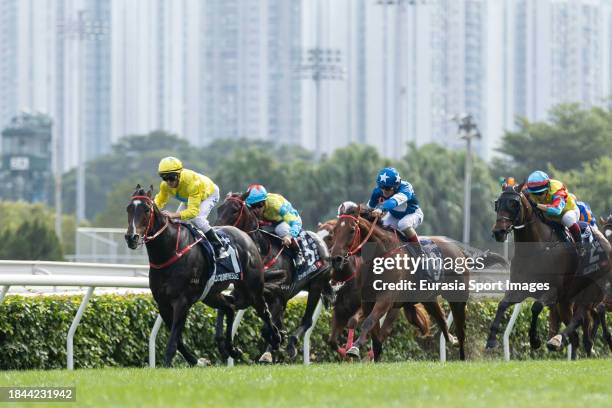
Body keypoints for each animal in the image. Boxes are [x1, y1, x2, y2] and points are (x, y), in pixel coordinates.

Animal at [125, 185, 282, 366]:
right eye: (128, 208)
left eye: (146, 209)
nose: (131, 237)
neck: (169, 252)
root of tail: (246, 236)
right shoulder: (162, 303)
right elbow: (178, 340)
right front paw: (196, 360)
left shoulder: (182, 302)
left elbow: (173, 340)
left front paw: (169, 363)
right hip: (210, 294)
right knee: (229, 307)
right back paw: (231, 349)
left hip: (252, 289)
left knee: (264, 311)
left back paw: (276, 338)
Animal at [214, 193, 332, 362]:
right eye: (219, 208)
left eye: (235, 210)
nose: (216, 230)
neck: (261, 254)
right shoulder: (245, 296)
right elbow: (224, 308)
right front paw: (223, 346)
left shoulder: (278, 295)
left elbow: (266, 327)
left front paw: (276, 340)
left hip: (316, 284)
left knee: (307, 320)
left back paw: (289, 345)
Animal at [330, 204, 468, 360]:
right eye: (334, 230)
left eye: (352, 230)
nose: (336, 259)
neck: (380, 253)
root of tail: (457, 249)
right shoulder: (366, 301)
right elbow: (375, 338)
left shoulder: (386, 298)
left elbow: (368, 322)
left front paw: (354, 347)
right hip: (429, 299)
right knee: (442, 320)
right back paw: (451, 339)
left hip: (457, 298)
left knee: (461, 331)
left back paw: (462, 356)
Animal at [488, 185, 612, 356]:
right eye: (497, 203)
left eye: (514, 204)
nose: (498, 232)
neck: (535, 250)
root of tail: (606, 243)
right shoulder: (520, 288)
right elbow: (502, 304)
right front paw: (491, 339)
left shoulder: (553, 291)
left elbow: (535, 307)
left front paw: (534, 340)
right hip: (566, 301)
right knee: (578, 335)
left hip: (591, 291)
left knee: (581, 318)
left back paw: (557, 339)